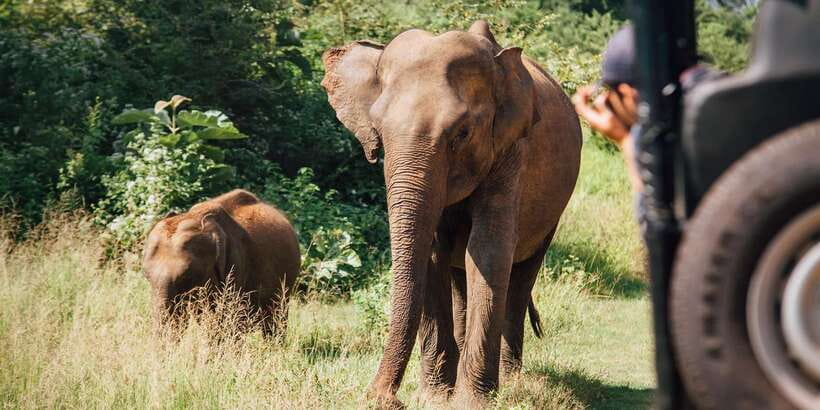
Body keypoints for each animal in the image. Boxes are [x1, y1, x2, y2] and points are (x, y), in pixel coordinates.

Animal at [321, 20, 581, 406]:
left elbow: (488, 252)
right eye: (378, 132)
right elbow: (432, 255)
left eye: (462, 133)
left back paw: (512, 381)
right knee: (460, 275)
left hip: (553, 212)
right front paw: (434, 398)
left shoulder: (511, 151)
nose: (383, 398)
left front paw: (472, 402)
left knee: (522, 274)